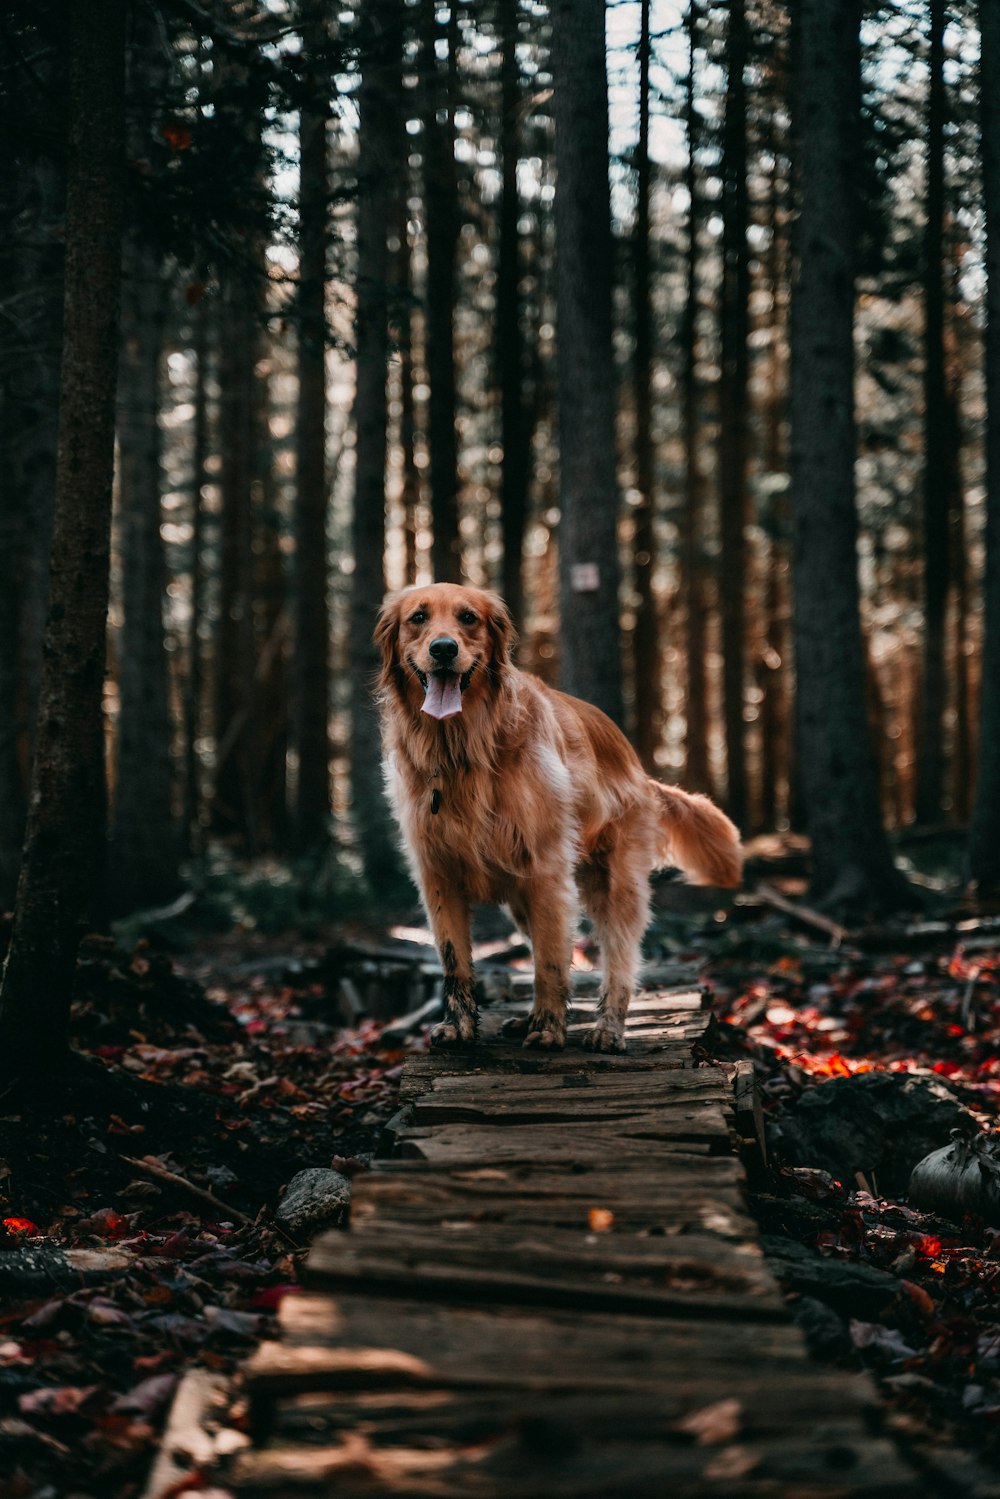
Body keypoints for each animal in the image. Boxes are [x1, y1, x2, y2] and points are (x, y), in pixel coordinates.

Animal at [374, 578, 743, 1049]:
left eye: (468, 618)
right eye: (418, 618)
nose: (442, 648)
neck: (463, 748)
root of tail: (639, 768)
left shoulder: (546, 871)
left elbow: (550, 962)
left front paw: (549, 1028)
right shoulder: (438, 874)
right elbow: (455, 962)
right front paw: (459, 1026)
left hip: (615, 882)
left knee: (620, 958)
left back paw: (607, 1027)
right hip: (522, 898)